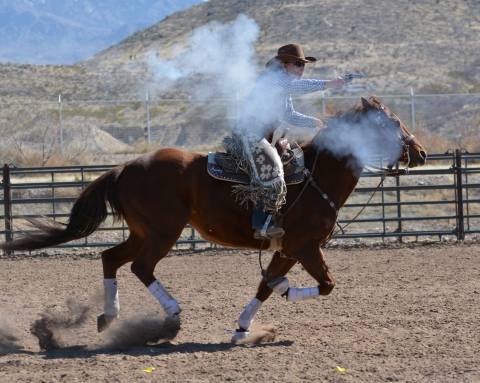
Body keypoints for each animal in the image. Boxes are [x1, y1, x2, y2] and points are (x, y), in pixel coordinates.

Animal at [0, 96, 428, 342]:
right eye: (392, 121)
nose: (421, 153)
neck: (316, 177)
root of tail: (124, 167)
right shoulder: (304, 247)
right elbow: (324, 285)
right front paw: (282, 295)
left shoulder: (286, 249)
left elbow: (265, 285)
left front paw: (243, 329)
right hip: (163, 232)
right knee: (141, 267)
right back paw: (170, 318)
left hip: (144, 231)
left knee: (111, 258)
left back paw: (110, 317)